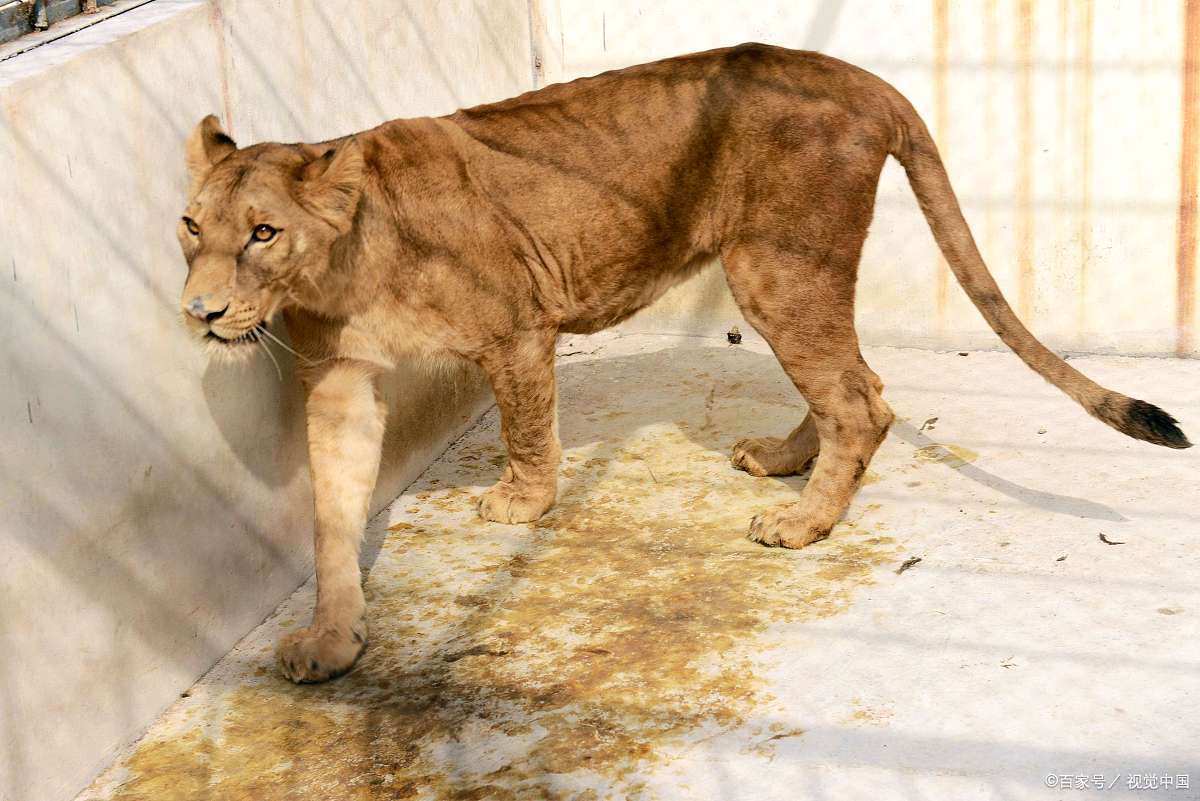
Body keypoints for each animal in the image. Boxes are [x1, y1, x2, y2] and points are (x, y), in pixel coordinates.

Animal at [177, 43, 1191, 683]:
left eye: (263, 232)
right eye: (191, 225)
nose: (200, 311)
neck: (346, 260)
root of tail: (861, 79)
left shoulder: (518, 327)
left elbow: (526, 426)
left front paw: (520, 502)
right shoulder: (340, 382)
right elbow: (331, 517)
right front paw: (329, 640)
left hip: (774, 261)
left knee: (860, 398)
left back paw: (804, 522)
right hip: (787, 270)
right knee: (858, 384)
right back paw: (787, 462)